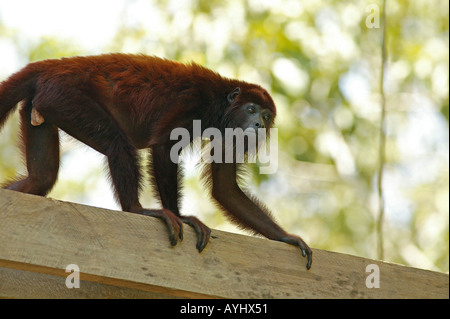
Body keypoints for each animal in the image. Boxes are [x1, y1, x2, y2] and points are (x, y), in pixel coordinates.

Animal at [0, 53, 312, 270]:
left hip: (41, 105)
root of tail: (51, 66)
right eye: (251, 110)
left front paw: (286, 237)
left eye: (267, 116)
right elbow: (164, 148)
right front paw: (181, 217)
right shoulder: (193, 102)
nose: (259, 124)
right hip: (66, 96)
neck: (220, 102)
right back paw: (137, 209)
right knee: (117, 143)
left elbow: (225, 189)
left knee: (41, 178)